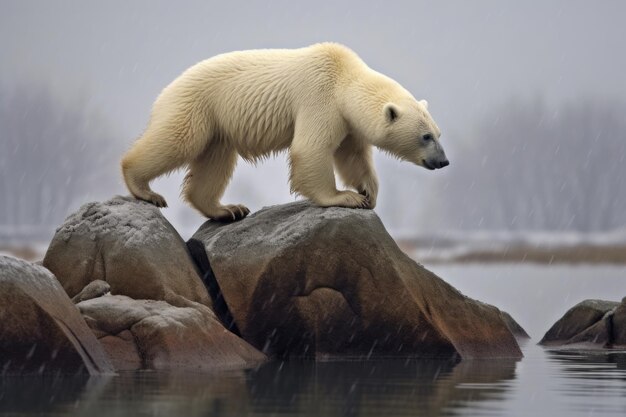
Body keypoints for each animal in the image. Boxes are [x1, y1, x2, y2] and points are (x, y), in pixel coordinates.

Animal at [120, 42, 444, 221]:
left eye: (438, 133)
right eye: (426, 136)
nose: (443, 161)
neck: (344, 76)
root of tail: (166, 91)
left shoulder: (348, 121)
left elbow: (352, 155)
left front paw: (368, 193)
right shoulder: (320, 98)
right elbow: (311, 149)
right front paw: (344, 197)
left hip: (217, 125)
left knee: (215, 162)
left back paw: (227, 209)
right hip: (196, 106)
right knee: (177, 140)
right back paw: (144, 189)